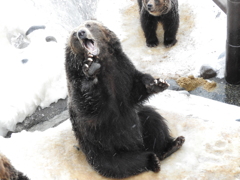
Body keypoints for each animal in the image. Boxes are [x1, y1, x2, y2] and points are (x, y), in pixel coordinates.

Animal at [64, 20, 185, 179]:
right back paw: (152, 160)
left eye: (89, 25)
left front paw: (157, 83)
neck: (103, 62)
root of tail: (138, 145)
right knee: (120, 164)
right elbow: (89, 107)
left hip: (140, 122)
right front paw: (90, 70)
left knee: (154, 121)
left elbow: (134, 89)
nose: (81, 33)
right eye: (73, 34)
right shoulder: (77, 80)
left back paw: (171, 145)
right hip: (101, 146)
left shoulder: (121, 69)